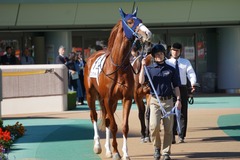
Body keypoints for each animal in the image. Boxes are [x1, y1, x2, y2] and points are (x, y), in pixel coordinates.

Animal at [84, 8, 151, 160]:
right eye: (130, 21)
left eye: (141, 20)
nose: (147, 33)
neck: (118, 67)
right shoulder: (107, 99)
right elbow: (114, 126)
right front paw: (116, 152)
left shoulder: (126, 98)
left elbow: (123, 126)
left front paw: (123, 153)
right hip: (91, 95)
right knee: (94, 116)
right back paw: (98, 146)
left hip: (112, 102)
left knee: (107, 120)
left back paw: (108, 149)